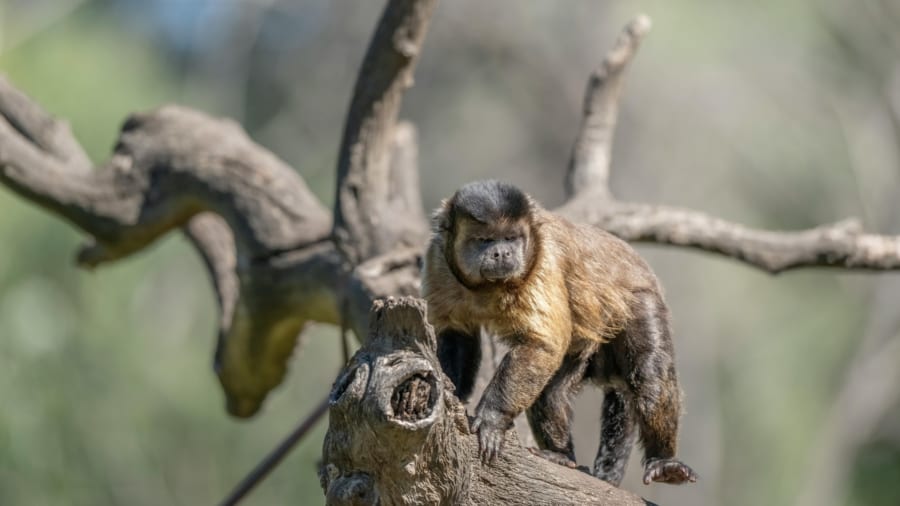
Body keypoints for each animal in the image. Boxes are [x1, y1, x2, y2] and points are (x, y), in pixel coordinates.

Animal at [420, 180, 696, 484]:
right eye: (485, 240)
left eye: (511, 238)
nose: (503, 253)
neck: (487, 288)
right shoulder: (438, 260)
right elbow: (456, 332)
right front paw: (449, 391)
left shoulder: (543, 262)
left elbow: (542, 344)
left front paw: (492, 418)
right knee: (551, 391)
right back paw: (561, 456)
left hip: (640, 301)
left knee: (649, 376)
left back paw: (664, 461)